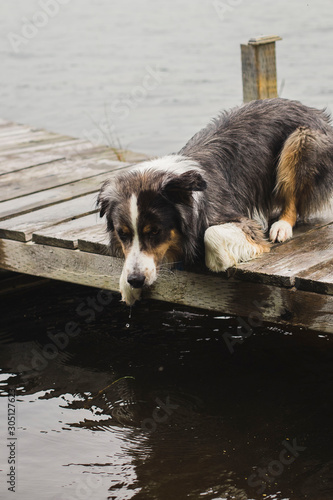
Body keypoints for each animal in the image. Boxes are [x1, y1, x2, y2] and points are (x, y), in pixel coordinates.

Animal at [96, 95, 332, 302]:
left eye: (155, 231)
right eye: (122, 233)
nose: (135, 280)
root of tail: (314, 111)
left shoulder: (237, 219)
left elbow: (212, 234)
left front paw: (220, 260)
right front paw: (126, 285)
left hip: (301, 139)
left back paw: (281, 226)